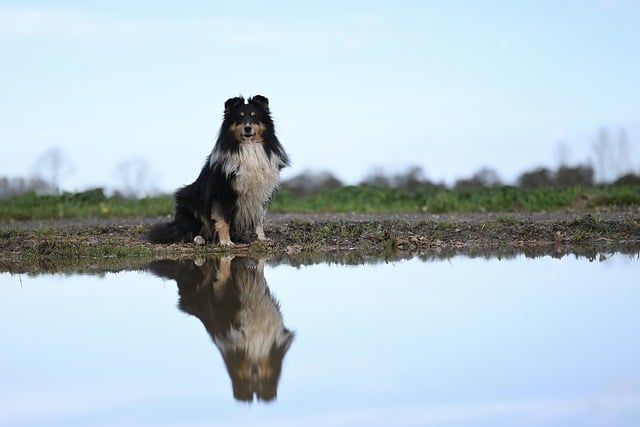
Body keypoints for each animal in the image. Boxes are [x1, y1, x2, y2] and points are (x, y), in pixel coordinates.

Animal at [149, 95, 288, 246]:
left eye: (254, 116)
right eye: (239, 117)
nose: (247, 128)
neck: (248, 146)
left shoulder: (260, 193)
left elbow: (259, 218)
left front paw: (262, 238)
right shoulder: (223, 192)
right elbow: (223, 219)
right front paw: (226, 242)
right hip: (190, 202)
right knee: (188, 233)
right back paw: (199, 239)